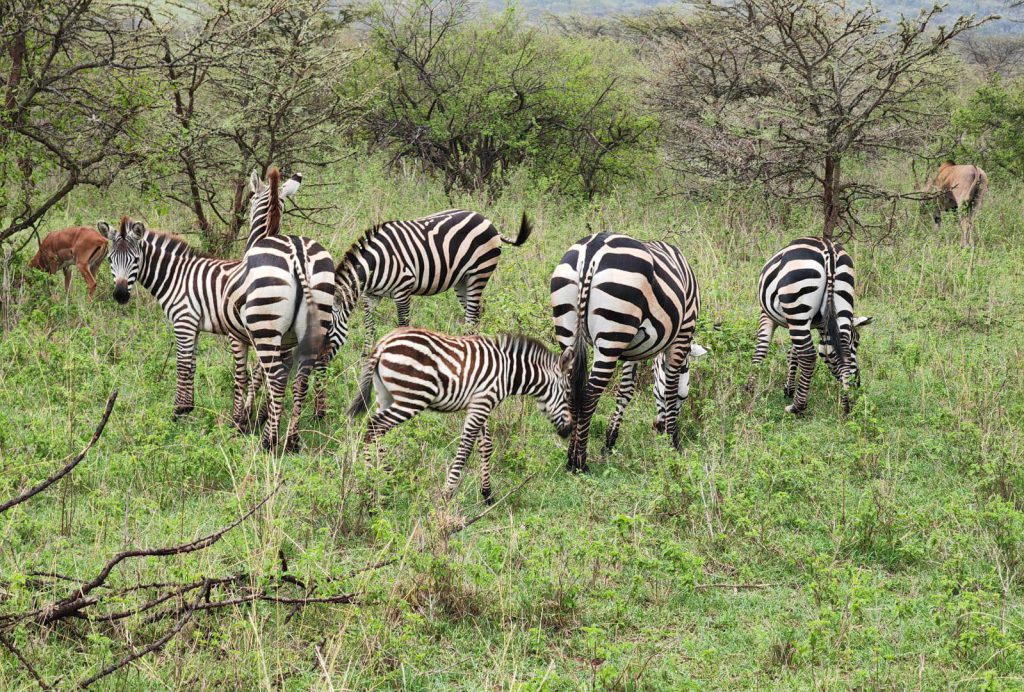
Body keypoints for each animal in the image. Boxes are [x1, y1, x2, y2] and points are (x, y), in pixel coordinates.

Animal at [106, 178, 333, 450]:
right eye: (110, 259)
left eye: (135, 259)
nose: (120, 295)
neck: (177, 275)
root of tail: (298, 252)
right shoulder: (196, 326)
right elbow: (194, 365)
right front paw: (190, 407)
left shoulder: (185, 321)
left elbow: (185, 366)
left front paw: (179, 412)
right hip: (311, 324)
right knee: (300, 379)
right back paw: (291, 440)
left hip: (267, 328)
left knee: (277, 378)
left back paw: (269, 442)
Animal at [329, 207, 536, 352]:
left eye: (327, 328)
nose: (322, 372)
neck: (377, 263)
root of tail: (487, 221)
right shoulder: (370, 296)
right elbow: (369, 327)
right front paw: (364, 359)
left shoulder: (403, 289)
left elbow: (403, 325)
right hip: (463, 281)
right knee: (477, 312)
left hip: (479, 273)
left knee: (471, 317)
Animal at [350, 329, 577, 503]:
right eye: (568, 394)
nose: (569, 431)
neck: (508, 372)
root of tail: (383, 343)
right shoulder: (482, 402)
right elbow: (466, 448)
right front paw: (447, 493)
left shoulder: (480, 404)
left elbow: (486, 446)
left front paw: (487, 494)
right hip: (414, 397)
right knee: (374, 426)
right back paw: (372, 485)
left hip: (385, 395)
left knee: (377, 431)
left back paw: (385, 479)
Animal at [552, 232, 704, 470]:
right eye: (684, 398)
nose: (657, 428)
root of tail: (593, 248)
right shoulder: (683, 333)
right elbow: (670, 389)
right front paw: (674, 445)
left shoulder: (632, 349)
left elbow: (626, 391)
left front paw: (609, 442)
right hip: (612, 333)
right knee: (589, 394)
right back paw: (580, 462)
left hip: (570, 328)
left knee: (570, 389)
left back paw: (570, 459)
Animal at [745, 235, 872, 413]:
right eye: (857, 344)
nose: (857, 384)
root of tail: (829, 250)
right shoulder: (807, 323)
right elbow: (793, 352)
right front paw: (788, 389)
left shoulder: (768, 315)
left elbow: (761, 349)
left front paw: (750, 389)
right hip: (840, 301)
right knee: (843, 355)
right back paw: (846, 406)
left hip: (797, 304)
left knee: (808, 355)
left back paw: (797, 407)